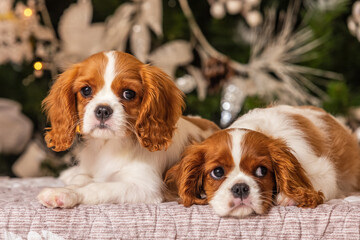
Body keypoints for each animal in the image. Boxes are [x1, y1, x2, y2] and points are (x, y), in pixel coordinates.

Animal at [36, 51, 218, 208]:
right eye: (86, 90)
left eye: (128, 93)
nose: (103, 110)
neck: (109, 146)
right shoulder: (87, 173)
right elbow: (80, 180)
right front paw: (67, 188)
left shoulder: (145, 187)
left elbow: (97, 187)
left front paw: (64, 194)